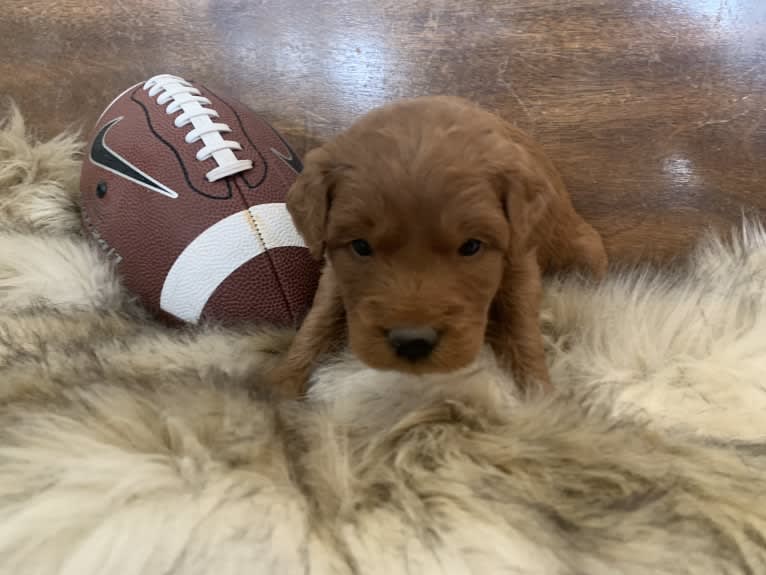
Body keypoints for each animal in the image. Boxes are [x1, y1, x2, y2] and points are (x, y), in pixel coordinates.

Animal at [268, 97, 608, 398]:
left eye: (471, 246)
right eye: (361, 246)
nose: (412, 342)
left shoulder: (520, 260)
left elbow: (520, 324)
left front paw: (539, 395)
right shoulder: (334, 272)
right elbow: (319, 319)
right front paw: (283, 388)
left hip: (584, 254)